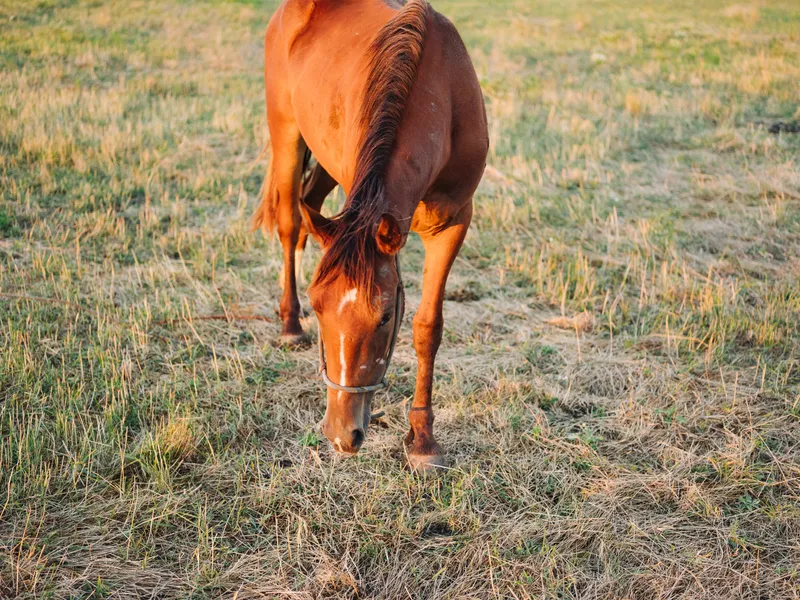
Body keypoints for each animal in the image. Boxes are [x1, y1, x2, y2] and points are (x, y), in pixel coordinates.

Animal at [254, 0, 488, 470]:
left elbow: (427, 326)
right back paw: (289, 324)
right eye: (319, 308)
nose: (342, 435)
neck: (439, 96)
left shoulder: (453, 222)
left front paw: (422, 441)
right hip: (287, 134)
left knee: (307, 209)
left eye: (384, 317)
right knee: (290, 223)